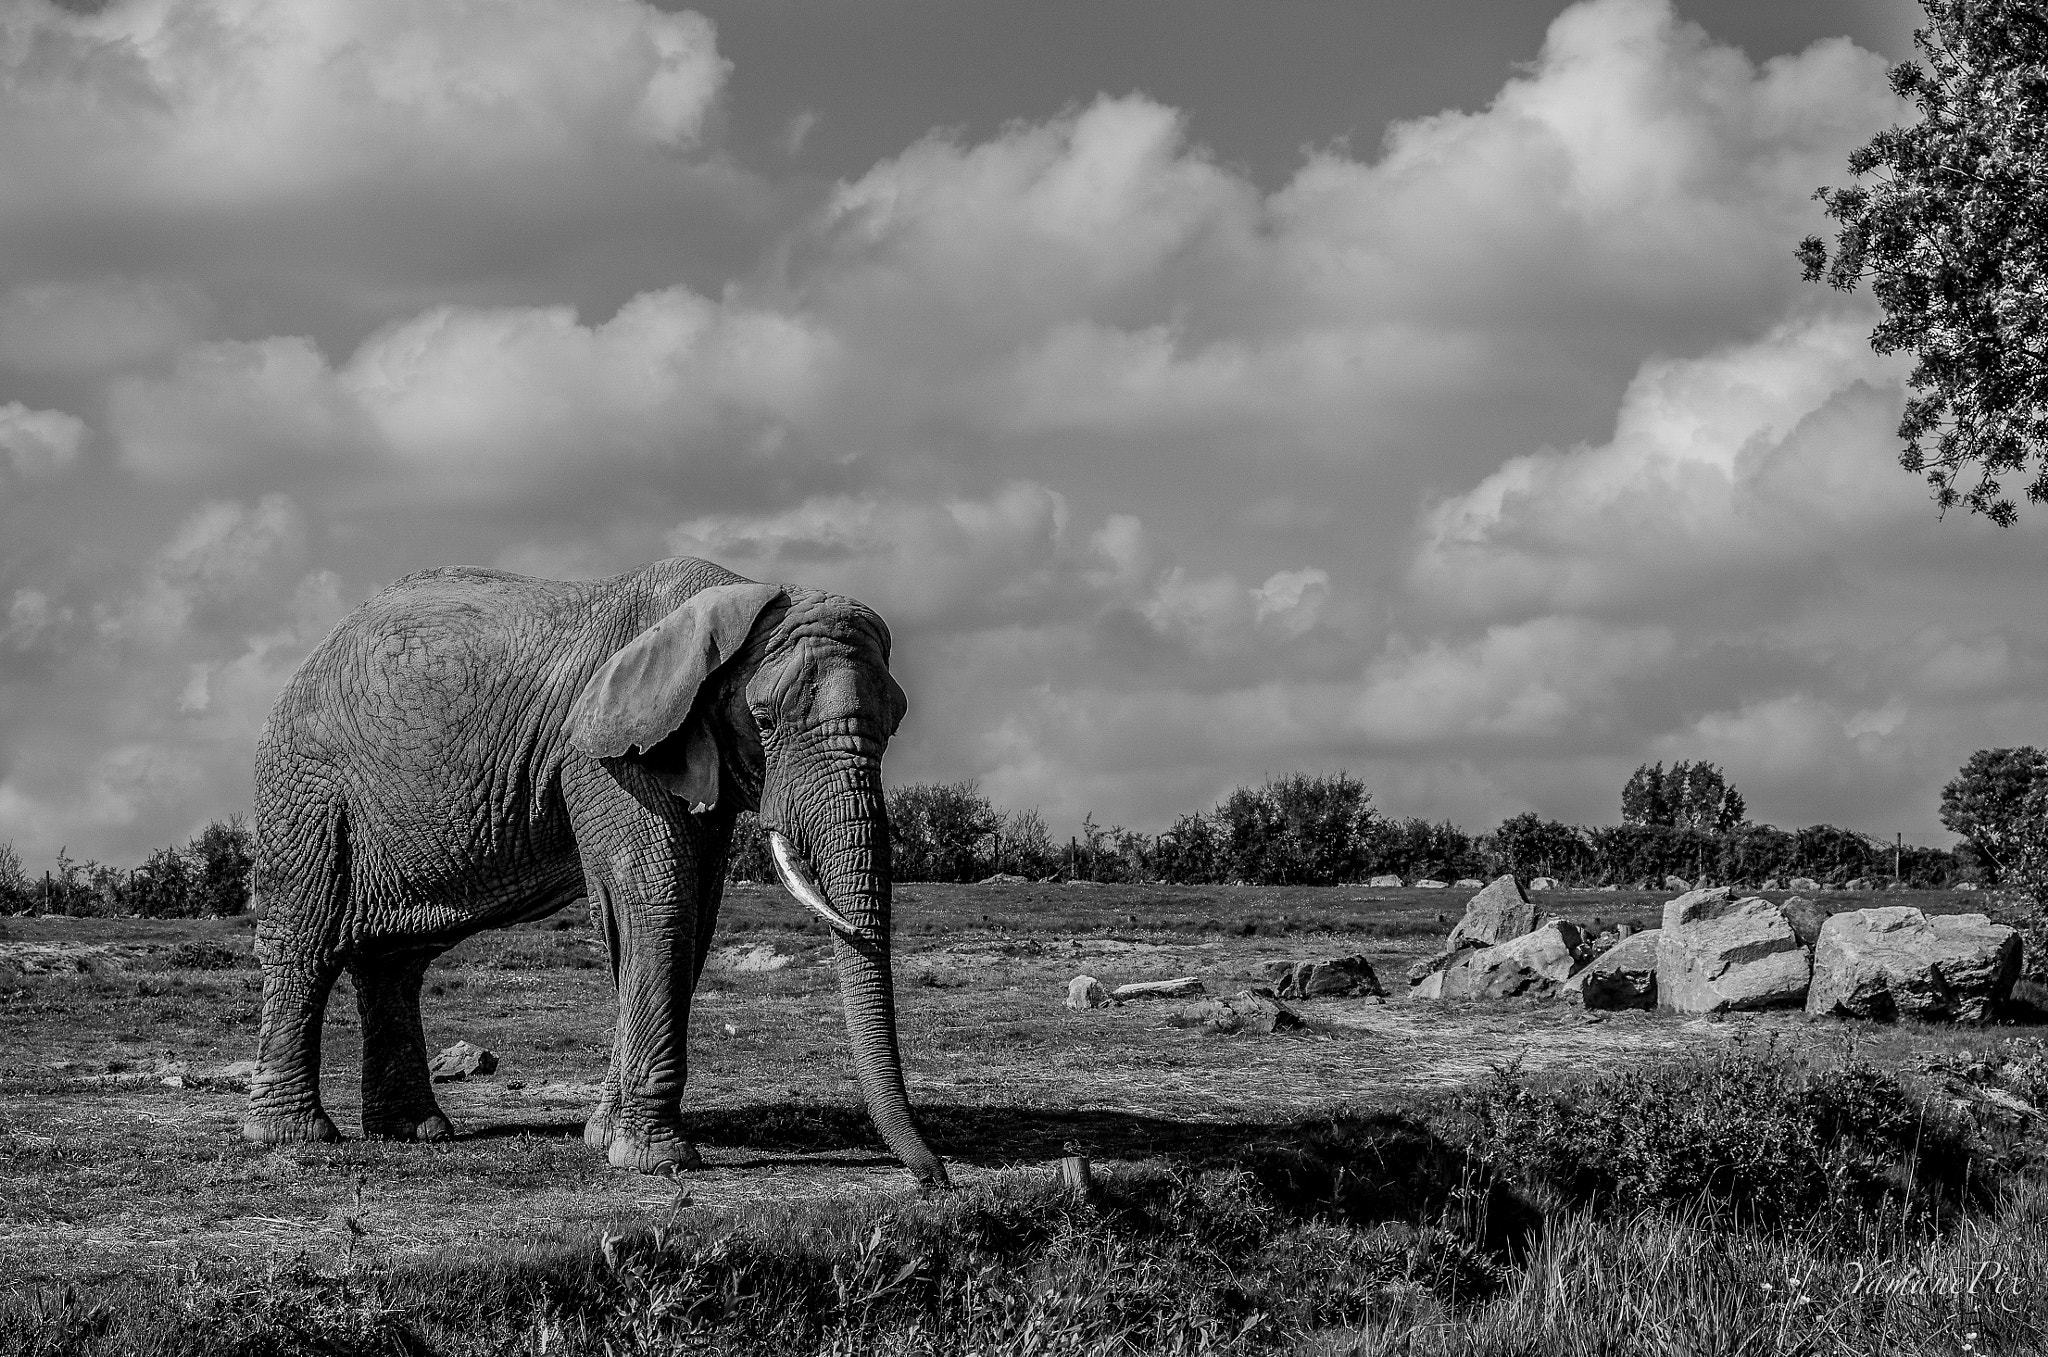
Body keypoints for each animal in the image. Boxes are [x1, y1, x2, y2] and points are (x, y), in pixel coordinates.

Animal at [239, 555, 950, 1189]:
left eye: (897, 722)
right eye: (766, 719)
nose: (933, 1178)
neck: (729, 601)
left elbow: (697, 909)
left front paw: (604, 1139)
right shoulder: (605, 753)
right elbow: (660, 897)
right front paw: (656, 1162)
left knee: (396, 960)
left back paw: (414, 1132)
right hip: (305, 791)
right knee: (305, 941)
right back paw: (294, 1137)